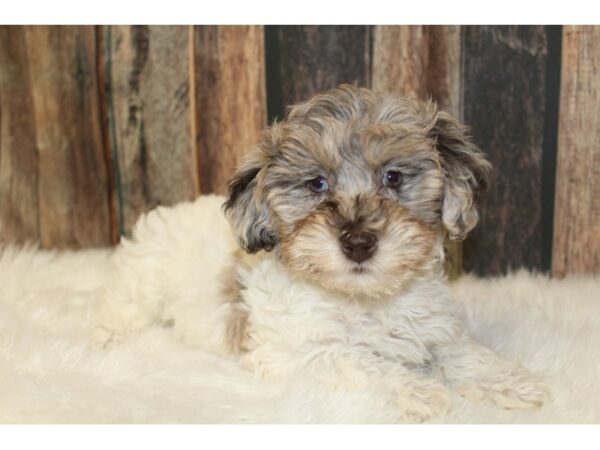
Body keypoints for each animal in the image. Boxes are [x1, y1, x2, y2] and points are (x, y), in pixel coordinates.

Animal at [96, 86, 552, 424]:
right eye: (316, 184)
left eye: (393, 177)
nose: (358, 243)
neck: (363, 299)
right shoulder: (298, 353)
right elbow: (360, 361)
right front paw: (418, 390)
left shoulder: (432, 324)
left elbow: (459, 350)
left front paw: (509, 382)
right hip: (143, 279)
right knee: (122, 303)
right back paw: (108, 334)